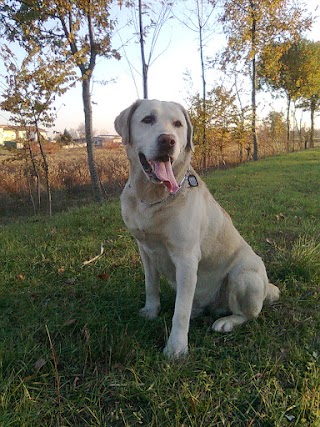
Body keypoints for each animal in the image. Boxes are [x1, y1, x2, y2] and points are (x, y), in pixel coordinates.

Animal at [115, 99, 280, 358]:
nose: (168, 140)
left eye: (178, 124)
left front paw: (176, 348)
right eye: (147, 119)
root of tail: (267, 287)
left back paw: (226, 322)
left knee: (249, 313)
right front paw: (151, 311)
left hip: (244, 275)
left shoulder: (186, 258)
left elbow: (179, 313)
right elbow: (151, 285)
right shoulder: (145, 250)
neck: (152, 198)